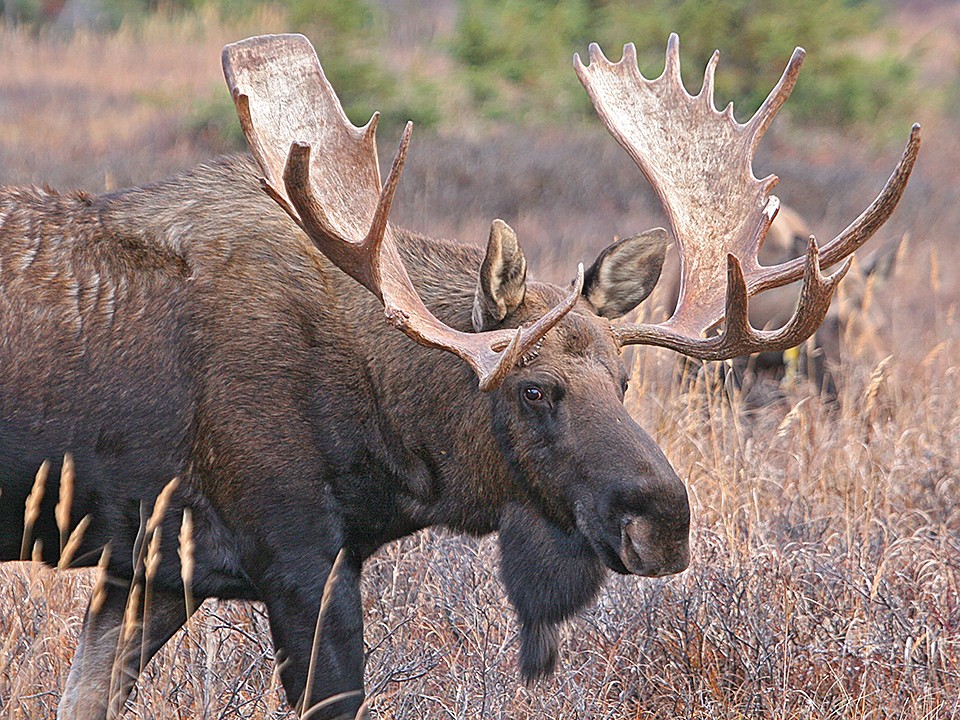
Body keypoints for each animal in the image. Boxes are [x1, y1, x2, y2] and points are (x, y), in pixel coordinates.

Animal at [0, 33, 916, 720]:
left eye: (624, 381)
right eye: (533, 388)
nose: (665, 520)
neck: (389, 445)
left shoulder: (150, 569)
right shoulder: (298, 557)